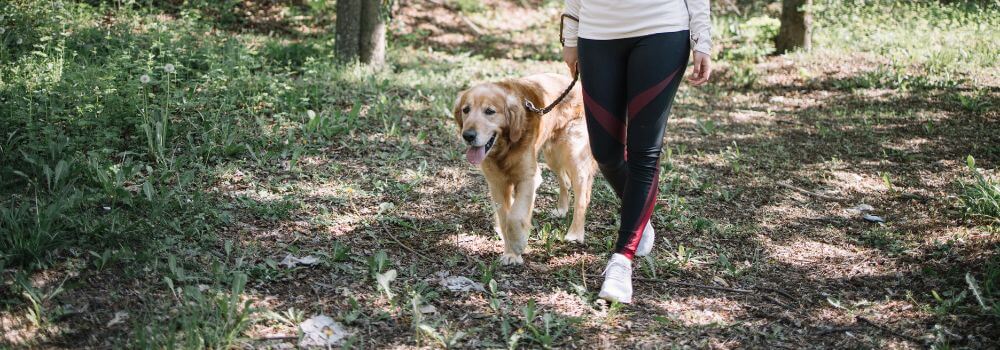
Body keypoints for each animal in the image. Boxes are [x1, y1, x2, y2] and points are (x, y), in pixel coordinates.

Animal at [454, 74, 592, 266]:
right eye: (466, 110)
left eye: (489, 111)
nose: (468, 136)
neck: (504, 148)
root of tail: (574, 82)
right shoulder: (497, 184)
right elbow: (505, 218)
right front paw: (511, 253)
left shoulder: (528, 178)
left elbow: (515, 216)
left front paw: (518, 243)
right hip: (552, 155)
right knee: (564, 181)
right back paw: (561, 209)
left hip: (573, 153)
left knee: (582, 196)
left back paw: (575, 233)